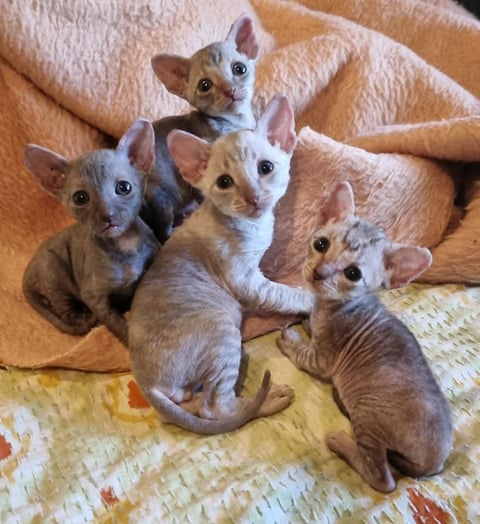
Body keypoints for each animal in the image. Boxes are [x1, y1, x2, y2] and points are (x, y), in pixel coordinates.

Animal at [23, 120, 158, 346]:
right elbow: (117, 324)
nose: (108, 215)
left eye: (124, 187)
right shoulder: (93, 296)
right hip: (51, 266)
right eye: (81, 198)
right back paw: (86, 318)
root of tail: (27, 272)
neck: (125, 244)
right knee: (66, 312)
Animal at [128, 93, 316, 434]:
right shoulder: (246, 280)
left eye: (265, 168)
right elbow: (283, 293)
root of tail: (145, 381)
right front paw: (310, 299)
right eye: (225, 182)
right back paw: (271, 399)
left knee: (184, 410)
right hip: (224, 335)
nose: (254, 197)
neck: (254, 226)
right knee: (215, 407)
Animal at [144, 14, 258, 243]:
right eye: (205, 85)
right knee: (163, 233)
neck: (235, 122)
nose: (230, 90)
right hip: (161, 199)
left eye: (239, 69)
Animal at [278, 182, 454, 494]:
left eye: (352, 273)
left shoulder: (323, 359)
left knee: (384, 480)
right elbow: (311, 324)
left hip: (368, 416)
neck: (334, 305)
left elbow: (302, 353)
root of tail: (438, 462)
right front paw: (306, 322)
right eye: (321, 244)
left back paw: (341, 443)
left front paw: (290, 339)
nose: (319, 272)